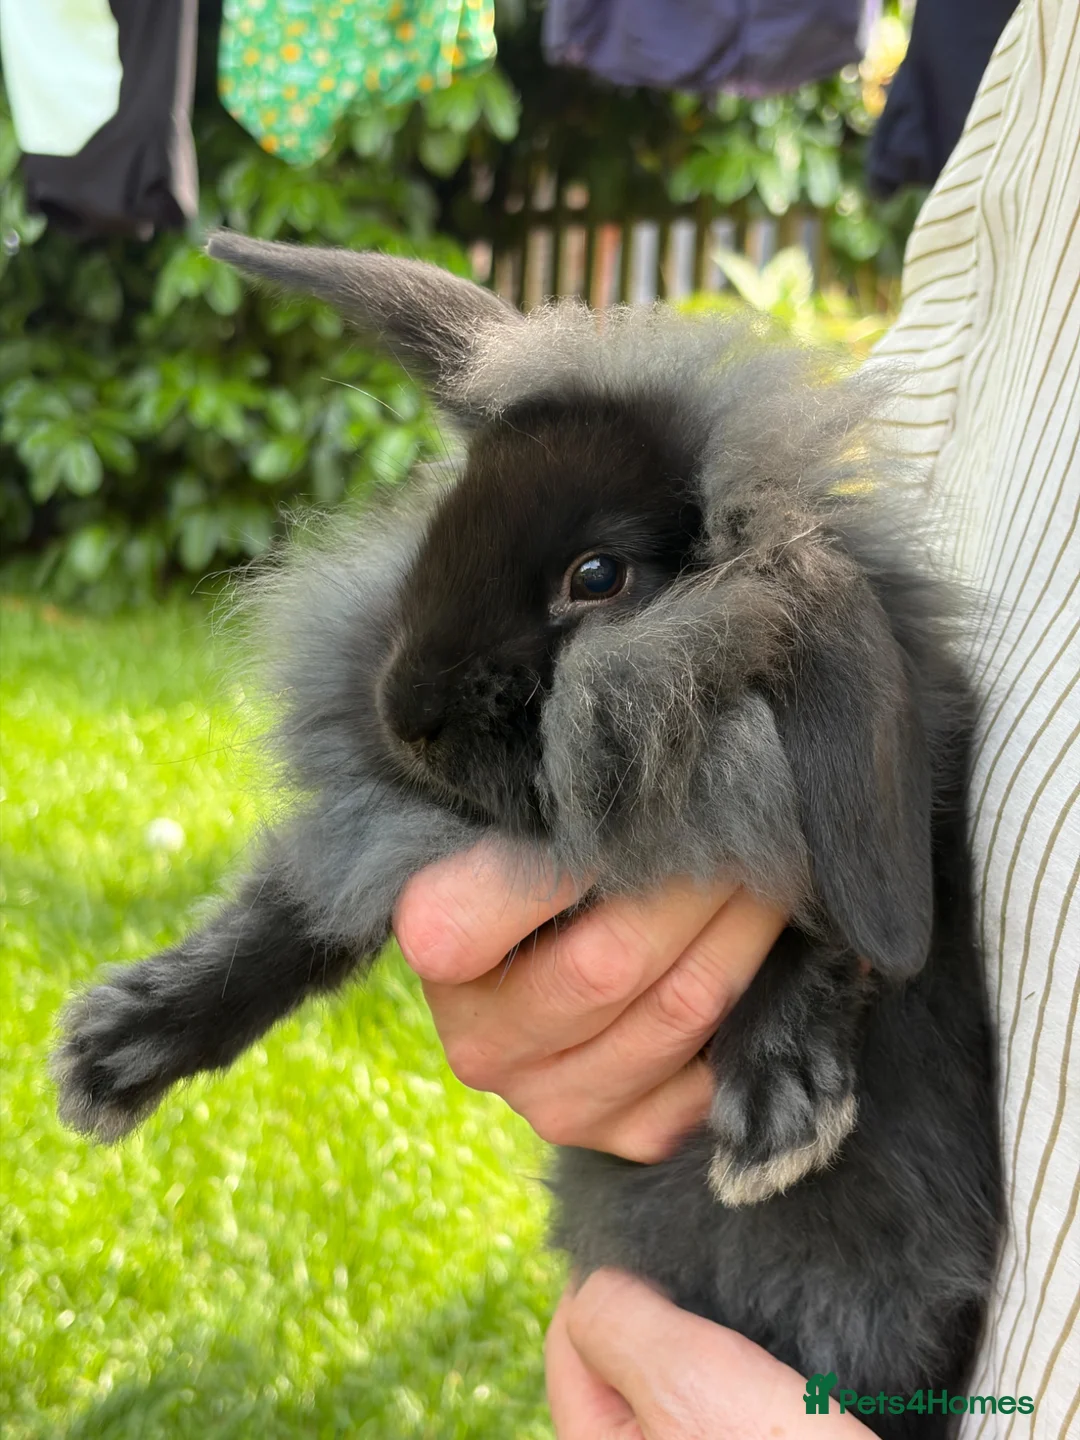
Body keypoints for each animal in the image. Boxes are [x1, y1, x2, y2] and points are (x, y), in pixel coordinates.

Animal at [52, 233, 1001, 1438]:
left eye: (597, 576)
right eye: (444, 520)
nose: (402, 714)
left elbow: (829, 931)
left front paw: (776, 1119)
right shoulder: (390, 843)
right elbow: (294, 921)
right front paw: (115, 1053)